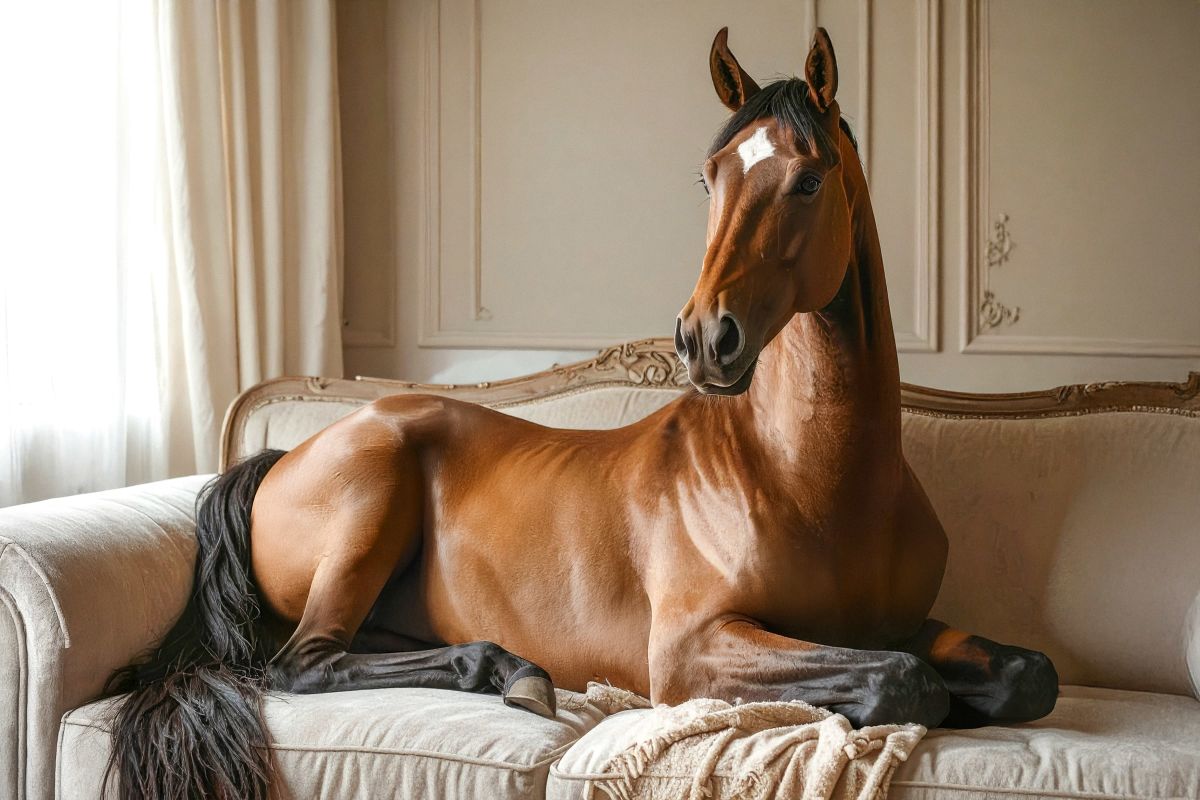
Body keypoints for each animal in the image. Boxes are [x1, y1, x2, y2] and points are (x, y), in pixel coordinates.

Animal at [106, 27, 1059, 800]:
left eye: (809, 179)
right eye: (709, 177)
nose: (704, 338)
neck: (805, 476)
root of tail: (281, 459)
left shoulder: (904, 623)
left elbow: (1027, 674)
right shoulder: (694, 649)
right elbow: (904, 679)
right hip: (370, 504)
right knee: (301, 664)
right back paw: (508, 670)